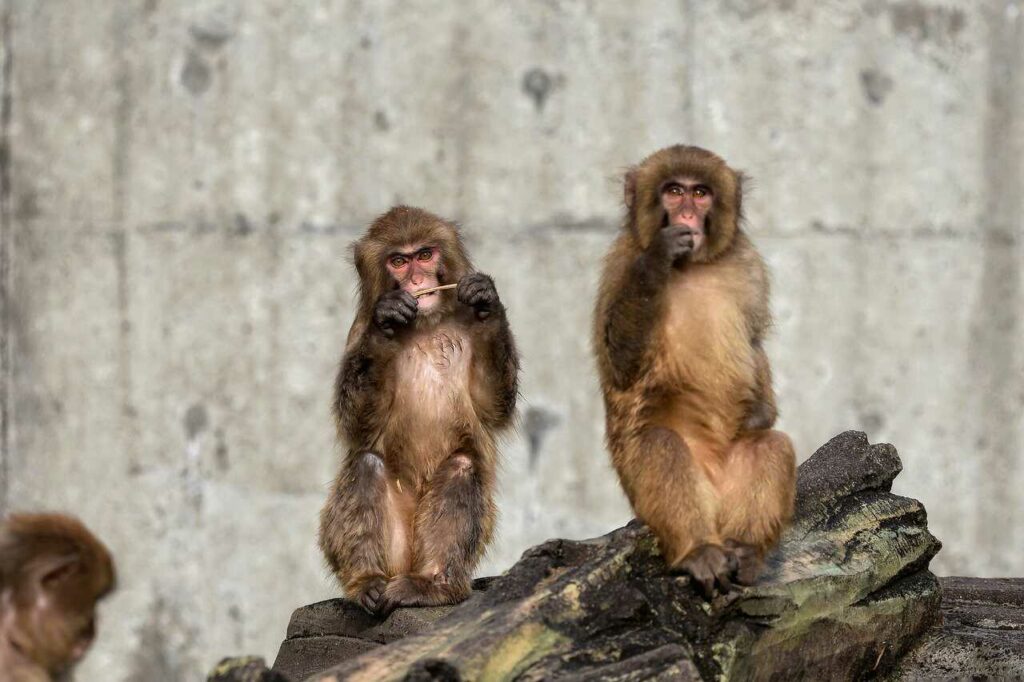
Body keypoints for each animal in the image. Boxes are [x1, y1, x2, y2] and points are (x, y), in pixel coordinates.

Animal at [319, 204, 520, 614]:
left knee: (463, 466)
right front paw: (387, 321)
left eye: (425, 255)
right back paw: (367, 582)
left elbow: (493, 405)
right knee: (365, 464)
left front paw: (486, 303)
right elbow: (357, 423)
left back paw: (434, 584)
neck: (428, 321)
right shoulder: (356, 332)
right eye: (398, 261)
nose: (416, 279)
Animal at [593, 144, 798, 593]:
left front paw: (761, 412)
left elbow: (754, 343)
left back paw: (745, 551)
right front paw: (659, 256)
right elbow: (619, 364)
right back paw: (698, 550)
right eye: (673, 191)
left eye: (700, 193)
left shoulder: (748, 266)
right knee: (659, 444)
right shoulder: (620, 265)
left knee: (769, 446)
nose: (686, 214)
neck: (695, 266)